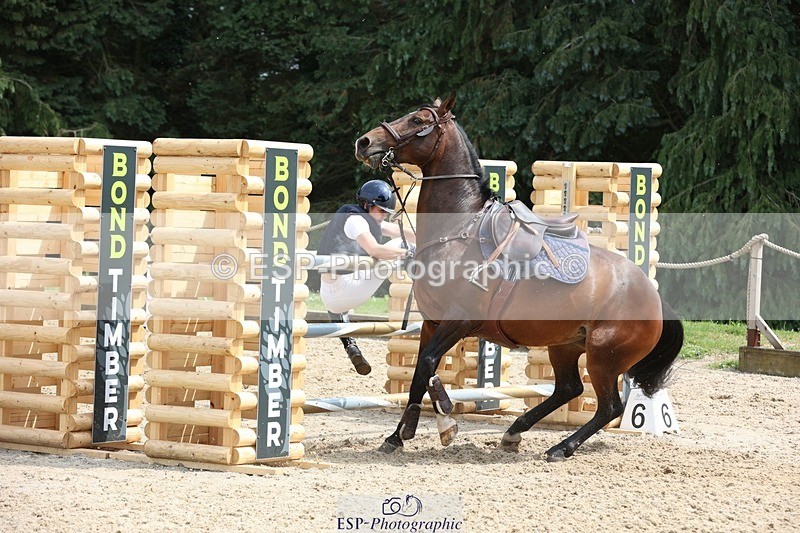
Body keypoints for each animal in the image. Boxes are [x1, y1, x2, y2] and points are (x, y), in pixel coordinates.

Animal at [354, 93, 683, 461]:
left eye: (418, 120)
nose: (364, 142)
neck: (458, 228)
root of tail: (652, 295)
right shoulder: (432, 323)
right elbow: (418, 375)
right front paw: (399, 435)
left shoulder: (459, 321)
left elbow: (427, 366)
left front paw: (443, 421)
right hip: (566, 346)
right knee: (569, 388)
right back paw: (515, 431)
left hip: (604, 358)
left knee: (609, 407)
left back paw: (561, 447)